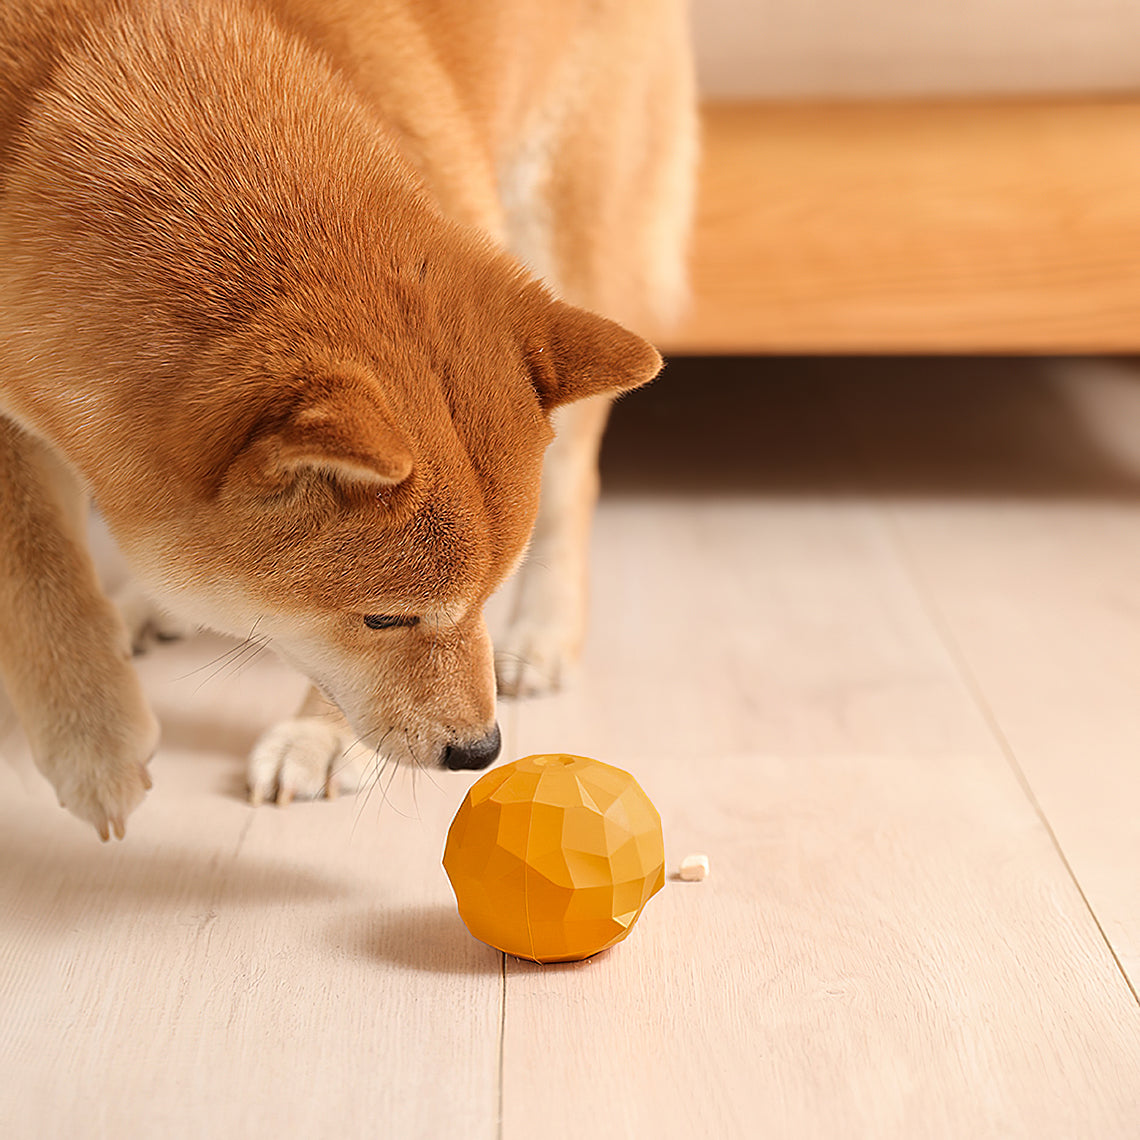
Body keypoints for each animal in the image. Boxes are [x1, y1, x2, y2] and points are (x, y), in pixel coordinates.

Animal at [0, 0, 693, 839]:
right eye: (383, 620)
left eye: (488, 595)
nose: (480, 751)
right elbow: (37, 572)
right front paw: (91, 744)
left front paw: (320, 738)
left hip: (564, 229)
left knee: (574, 481)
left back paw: (545, 634)